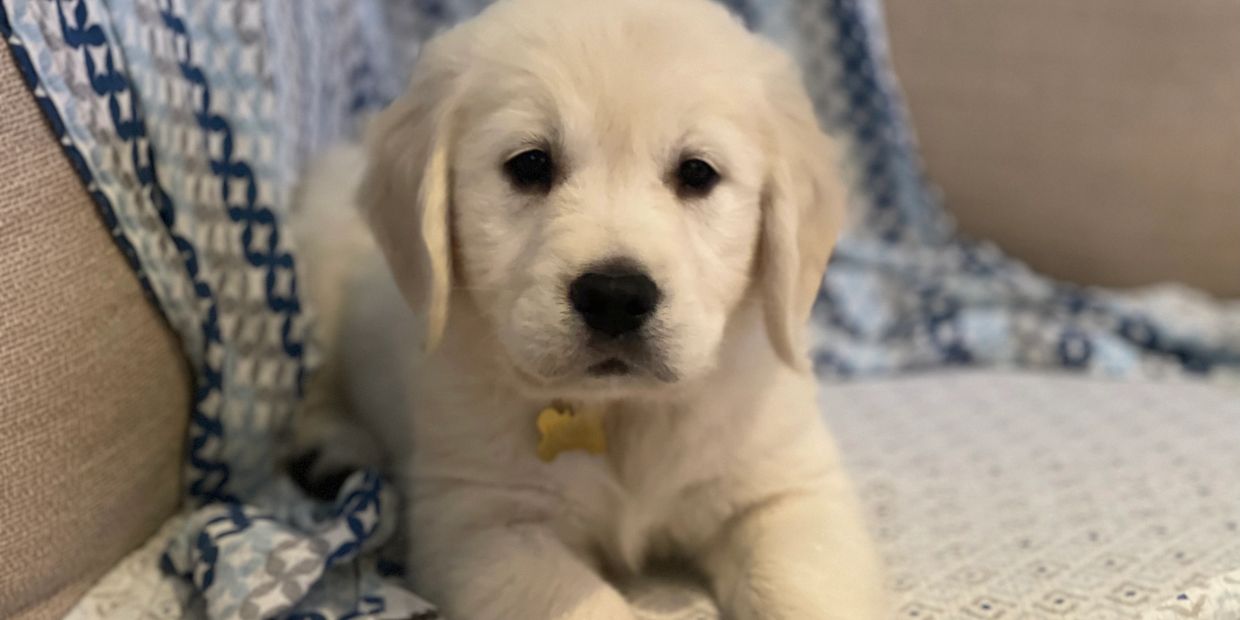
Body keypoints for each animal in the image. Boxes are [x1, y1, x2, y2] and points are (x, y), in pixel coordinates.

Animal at [295, 0, 887, 617]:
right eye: (531, 165)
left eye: (697, 172)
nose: (615, 296)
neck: (621, 412)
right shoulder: (481, 523)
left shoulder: (789, 491)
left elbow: (801, 589)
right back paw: (331, 448)